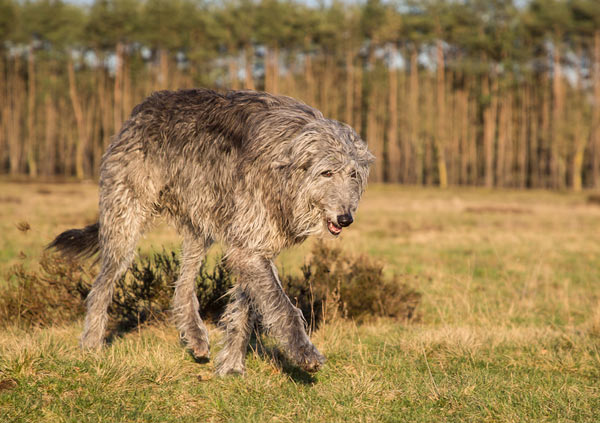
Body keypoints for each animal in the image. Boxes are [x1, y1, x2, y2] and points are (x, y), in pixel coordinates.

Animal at [49, 88, 372, 374]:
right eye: (326, 172)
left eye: (353, 174)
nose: (346, 218)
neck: (284, 171)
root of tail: (140, 110)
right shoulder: (249, 246)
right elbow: (281, 306)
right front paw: (304, 353)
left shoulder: (254, 246)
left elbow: (246, 308)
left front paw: (231, 365)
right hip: (125, 220)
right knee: (103, 284)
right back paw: (91, 343)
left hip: (199, 226)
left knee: (183, 285)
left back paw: (194, 335)